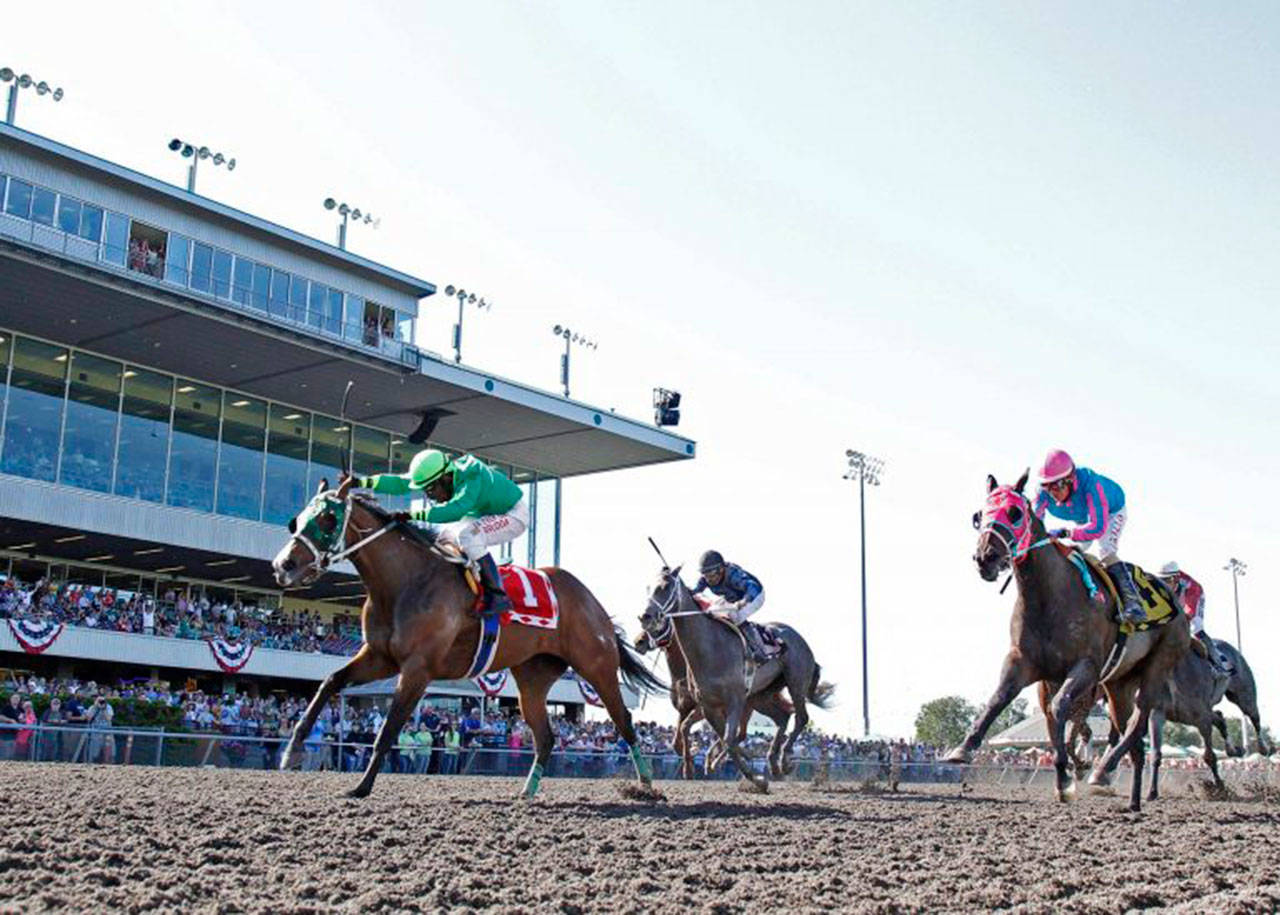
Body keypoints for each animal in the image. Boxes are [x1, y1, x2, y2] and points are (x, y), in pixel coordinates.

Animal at [273, 476, 665, 798]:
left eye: (327, 519)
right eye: (299, 519)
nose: (282, 566)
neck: (406, 581)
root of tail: (592, 602)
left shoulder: (418, 669)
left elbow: (388, 729)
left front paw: (361, 787)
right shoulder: (379, 657)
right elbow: (330, 681)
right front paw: (292, 749)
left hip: (597, 668)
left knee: (624, 722)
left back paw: (646, 785)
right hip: (532, 679)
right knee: (546, 736)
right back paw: (527, 792)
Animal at [640, 563, 839, 793]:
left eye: (664, 587)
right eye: (648, 587)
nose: (645, 617)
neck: (709, 648)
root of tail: (800, 639)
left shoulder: (734, 700)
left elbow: (728, 739)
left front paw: (751, 775)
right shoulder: (708, 705)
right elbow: (724, 739)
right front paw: (749, 775)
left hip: (795, 682)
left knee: (801, 718)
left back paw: (785, 761)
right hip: (761, 695)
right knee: (782, 717)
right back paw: (773, 763)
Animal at [952, 468, 1187, 813]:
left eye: (1015, 513)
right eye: (980, 516)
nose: (986, 558)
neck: (1049, 595)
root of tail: (1177, 600)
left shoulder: (1086, 668)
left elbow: (1062, 709)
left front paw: (1069, 775)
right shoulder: (1026, 664)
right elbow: (1005, 700)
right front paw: (964, 748)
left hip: (1157, 666)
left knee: (1138, 721)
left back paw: (1103, 770)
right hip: (1118, 684)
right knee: (1131, 732)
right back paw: (1132, 800)